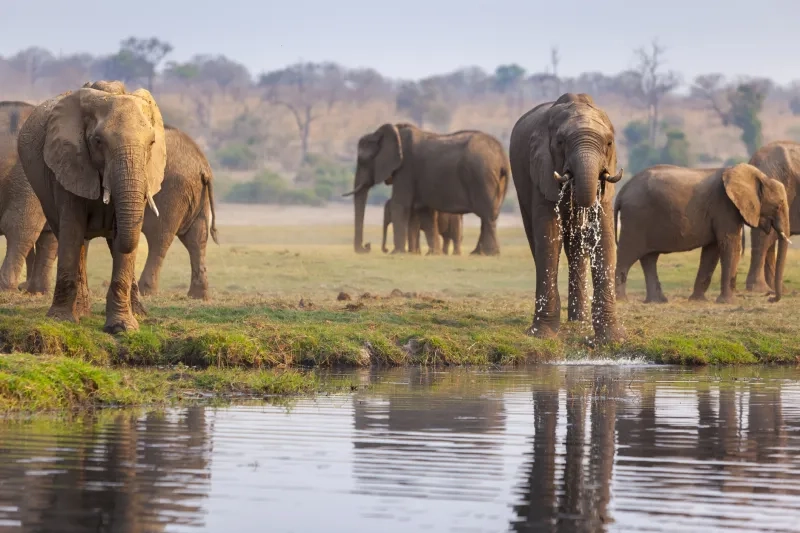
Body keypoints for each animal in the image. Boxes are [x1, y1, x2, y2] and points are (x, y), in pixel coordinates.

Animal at [17, 80, 167, 333]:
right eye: (98, 142)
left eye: (152, 142)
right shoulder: (68, 164)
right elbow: (72, 231)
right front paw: (61, 321)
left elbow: (122, 243)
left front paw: (123, 328)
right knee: (73, 239)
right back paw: (81, 313)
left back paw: (138, 314)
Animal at [344, 124, 509, 256]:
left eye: (363, 160)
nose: (367, 247)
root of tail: (502, 157)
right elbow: (425, 211)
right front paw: (432, 254)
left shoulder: (406, 168)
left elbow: (400, 205)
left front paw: (396, 253)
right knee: (489, 215)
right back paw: (478, 253)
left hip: (481, 176)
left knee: (486, 214)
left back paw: (488, 254)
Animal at [509, 93, 625, 343]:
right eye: (561, 142)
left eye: (609, 143)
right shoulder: (541, 169)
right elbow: (549, 235)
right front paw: (542, 335)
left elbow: (604, 236)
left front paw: (612, 339)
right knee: (537, 240)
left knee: (575, 247)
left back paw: (578, 321)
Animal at [614, 163, 791, 304]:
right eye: (779, 205)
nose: (771, 298)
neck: (760, 177)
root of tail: (622, 191)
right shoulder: (725, 207)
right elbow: (729, 246)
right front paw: (727, 302)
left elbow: (712, 251)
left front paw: (698, 300)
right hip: (635, 219)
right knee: (626, 256)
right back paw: (622, 300)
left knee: (649, 259)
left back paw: (657, 301)